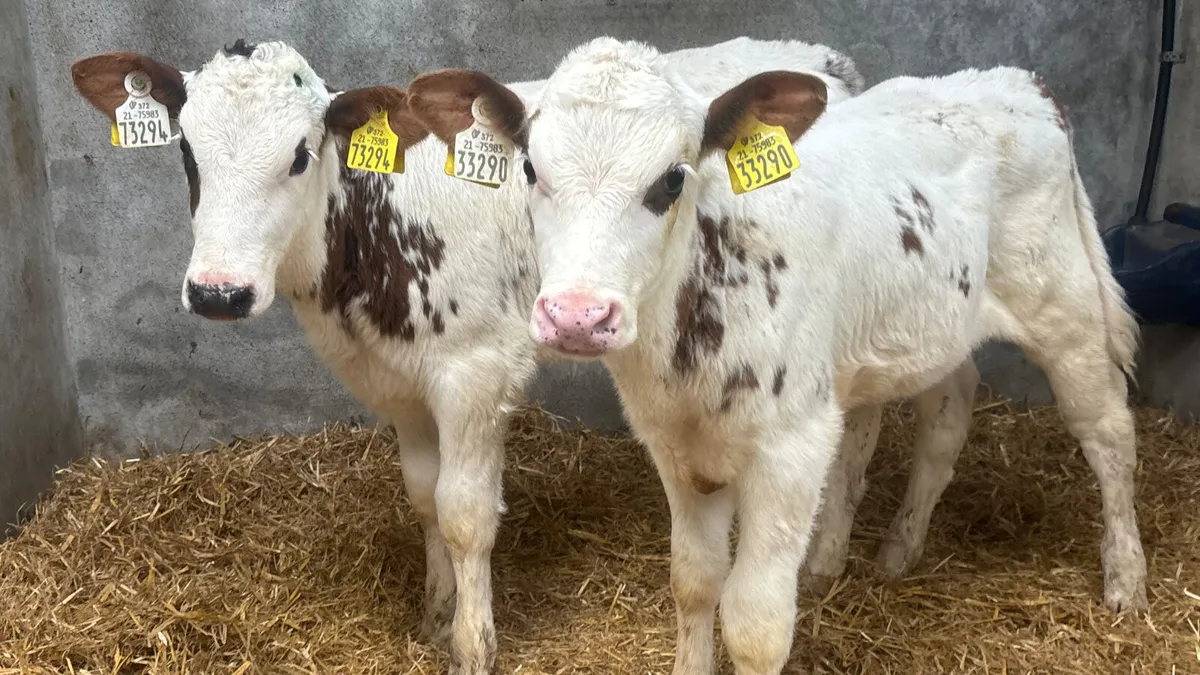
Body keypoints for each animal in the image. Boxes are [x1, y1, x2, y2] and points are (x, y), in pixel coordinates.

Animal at [70, 37, 867, 674]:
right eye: (185, 151)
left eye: (299, 154)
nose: (219, 292)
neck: (379, 221)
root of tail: (819, 55)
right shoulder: (398, 380)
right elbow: (424, 493)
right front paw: (434, 610)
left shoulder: (476, 369)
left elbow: (464, 512)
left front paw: (472, 643)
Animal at [407, 37, 1147, 675]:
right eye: (531, 169)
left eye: (672, 180)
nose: (578, 316)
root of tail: (1015, 82)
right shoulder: (673, 445)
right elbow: (694, 581)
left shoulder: (791, 449)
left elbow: (757, 623)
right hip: (926, 326)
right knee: (946, 410)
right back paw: (891, 550)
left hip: (1065, 307)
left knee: (1109, 433)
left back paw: (1127, 580)